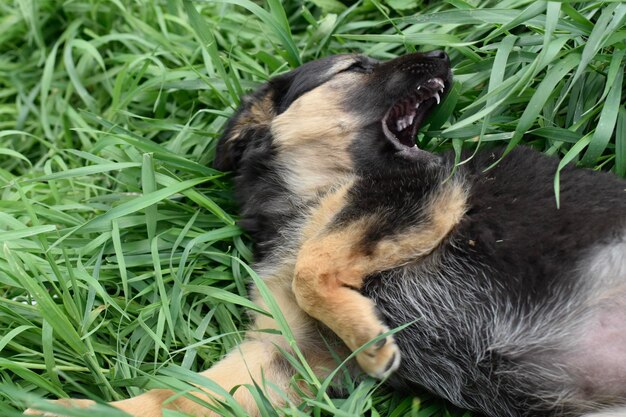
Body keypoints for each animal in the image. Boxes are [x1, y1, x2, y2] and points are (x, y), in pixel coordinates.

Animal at [26, 52, 624, 416]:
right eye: (355, 67)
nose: (443, 57)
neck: (306, 199)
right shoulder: (284, 354)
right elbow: (179, 394)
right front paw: (76, 409)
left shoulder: (419, 195)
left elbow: (312, 264)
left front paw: (371, 341)